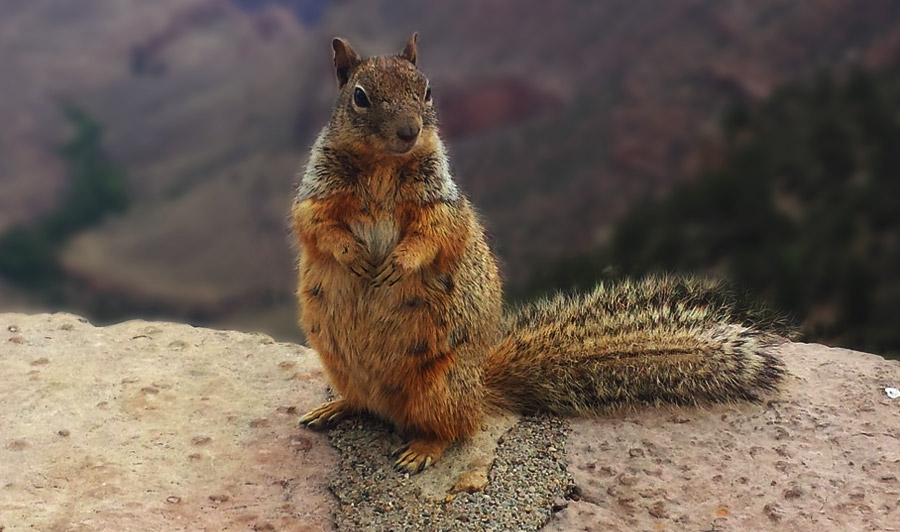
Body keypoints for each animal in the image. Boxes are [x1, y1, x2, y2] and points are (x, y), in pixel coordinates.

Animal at [292, 33, 784, 474]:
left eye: (427, 90)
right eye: (360, 97)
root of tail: (481, 383)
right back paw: (334, 409)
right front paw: (352, 253)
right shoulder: (316, 195)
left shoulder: (440, 203)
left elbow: (436, 234)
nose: (409, 131)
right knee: (366, 403)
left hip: (442, 387)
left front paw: (397, 263)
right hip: (343, 368)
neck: (382, 166)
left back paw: (423, 448)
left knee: (456, 428)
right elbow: (314, 224)